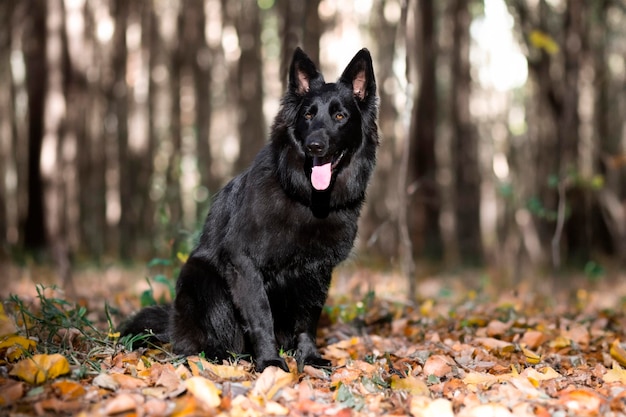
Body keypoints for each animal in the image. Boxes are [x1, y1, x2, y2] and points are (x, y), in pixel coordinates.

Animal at [120, 48, 376, 370]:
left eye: (340, 116)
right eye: (308, 115)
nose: (314, 146)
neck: (306, 198)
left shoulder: (317, 271)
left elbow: (308, 320)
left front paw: (309, 357)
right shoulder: (244, 264)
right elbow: (261, 317)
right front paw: (270, 362)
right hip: (201, 278)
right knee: (195, 341)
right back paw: (215, 354)